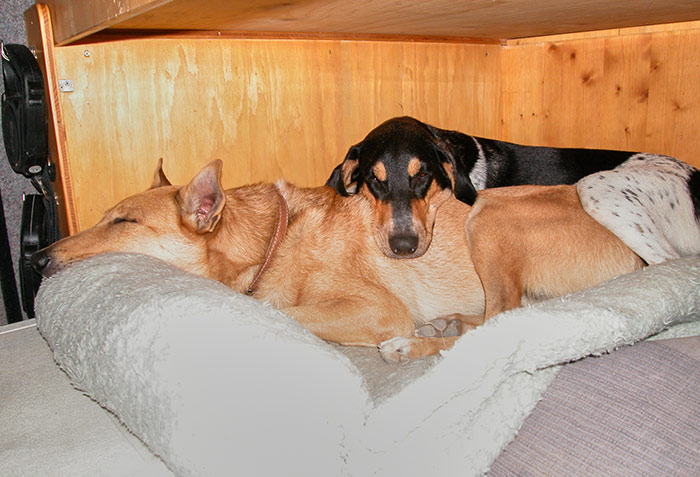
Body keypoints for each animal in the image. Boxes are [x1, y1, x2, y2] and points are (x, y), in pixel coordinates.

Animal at [32, 160, 644, 360]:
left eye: (122, 222)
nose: (36, 258)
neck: (272, 240)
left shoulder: (378, 309)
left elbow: (282, 311)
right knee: (492, 319)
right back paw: (447, 322)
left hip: (488, 215)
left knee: (502, 321)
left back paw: (414, 345)